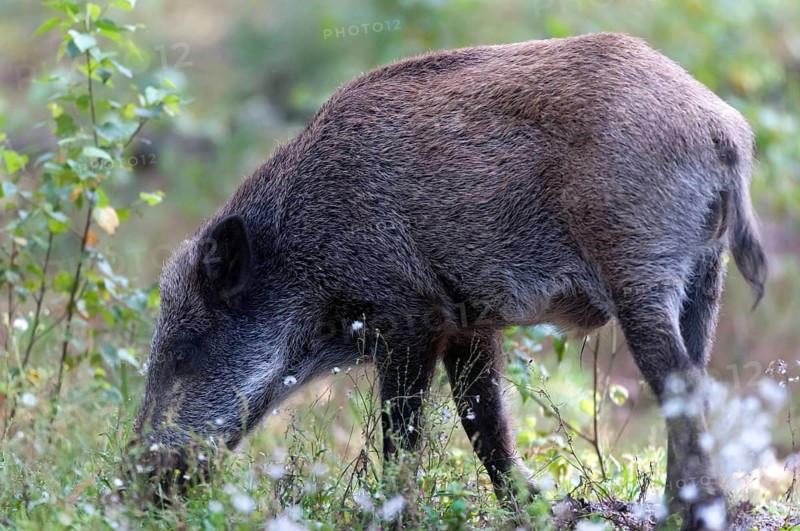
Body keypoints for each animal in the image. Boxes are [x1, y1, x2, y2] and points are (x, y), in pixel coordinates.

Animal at [134, 32, 766, 529]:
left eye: (184, 351)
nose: (137, 482)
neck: (302, 251)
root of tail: (723, 129)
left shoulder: (409, 315)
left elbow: (403, 430)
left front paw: (394, 515)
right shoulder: (469, 322)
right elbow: (483, 419)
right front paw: (532, 507)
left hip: (638, 269)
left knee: (683, 385)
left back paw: (695, 515)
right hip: (704, 278)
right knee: (696, 377)